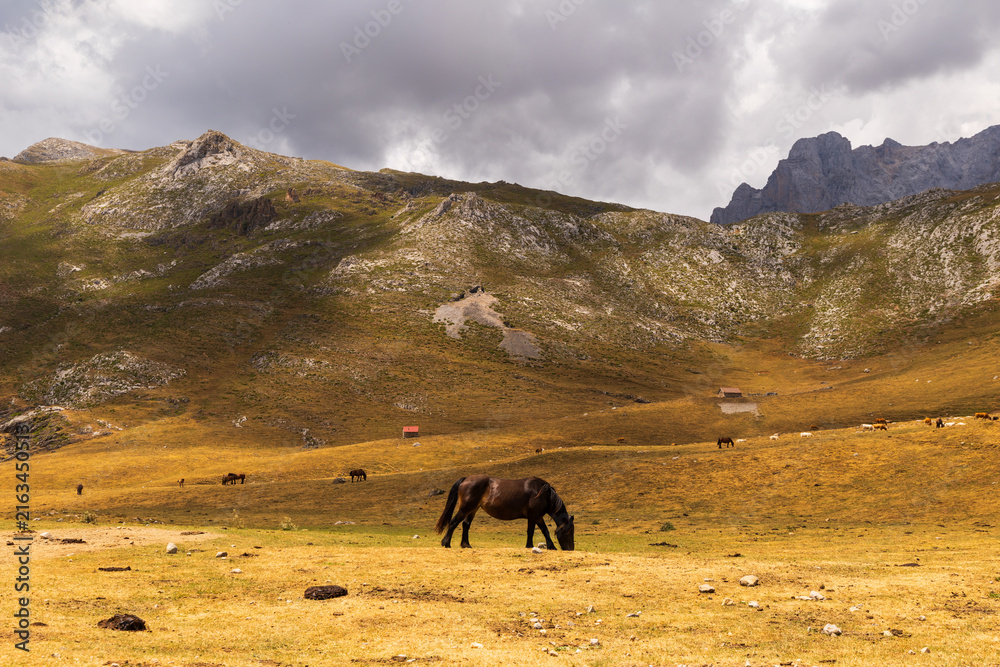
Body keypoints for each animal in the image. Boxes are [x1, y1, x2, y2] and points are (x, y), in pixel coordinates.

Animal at [434, 475, 575, 550]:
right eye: (568, 531)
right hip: (465, 508)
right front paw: (529, 546)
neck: (542, 493)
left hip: (473, 509)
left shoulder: (538, 517)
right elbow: (531, 531)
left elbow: (545, 530)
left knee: (466, 524)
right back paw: (446, 543)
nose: (570, 549)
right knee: (453, 523)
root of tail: (465, 479)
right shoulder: (533, 516)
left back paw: (466, 545)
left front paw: (552, 546)